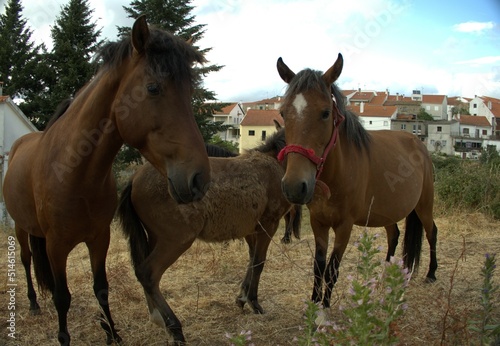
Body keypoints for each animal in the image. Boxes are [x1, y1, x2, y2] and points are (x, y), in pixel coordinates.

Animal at [2, 14, 209, 344]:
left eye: (189, 93)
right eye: (153, 88)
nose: (199, 178)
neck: (74, 174)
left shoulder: (100, 238)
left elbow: (101, 288)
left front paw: (112, 333)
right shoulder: (57, 246)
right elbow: (62, 297)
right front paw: (64, 337)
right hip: (22, 228)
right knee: (24, 259)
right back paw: (33, 304)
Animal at [118, 128, 292, 344]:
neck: (273, 163)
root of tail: (134, 178)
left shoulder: (251, 230)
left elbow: (251, 261)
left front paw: (241, 298)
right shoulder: (268, 224)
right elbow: (258, 263)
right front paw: (254, 302)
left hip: (154, 238)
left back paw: (157, 318)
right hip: (176, 240)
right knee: (147, 274)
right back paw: (174, 328)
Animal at [276, 54, 436, 308]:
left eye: (325, 113)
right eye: (283, 113)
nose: (294, 186)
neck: (335, 176)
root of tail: (419, 144)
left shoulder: (345, 226)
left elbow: (332, 269)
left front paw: (325, 306)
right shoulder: (318, 223)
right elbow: (318, 267)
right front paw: (313, 304)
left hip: (424, 207)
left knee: (432, 233)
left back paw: (431, 273)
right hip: (387, 211)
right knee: (394, 236)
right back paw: (385, 276)